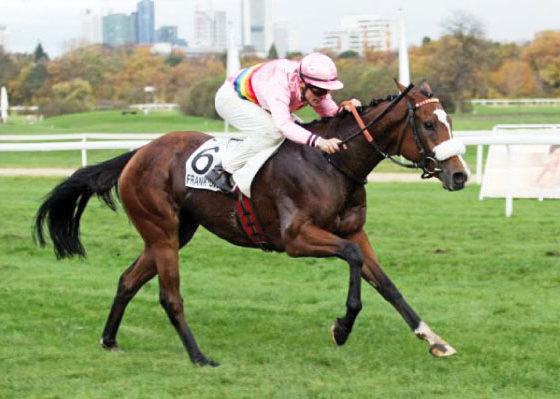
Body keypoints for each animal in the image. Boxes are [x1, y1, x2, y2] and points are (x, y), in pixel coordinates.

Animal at [35, 82, 470, 368]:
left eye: (448, 120)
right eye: (429, 125)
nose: (460, 175)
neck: (333, 162)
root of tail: (138, 152)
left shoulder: (354, 232)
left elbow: (387, 285)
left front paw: (435, 340)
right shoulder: (297, 239)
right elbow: (352, 262)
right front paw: (342, 327)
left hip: (174, 233)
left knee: (128, 279)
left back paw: (109, 340)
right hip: (162, 232)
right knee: (169, 296)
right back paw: (199, 356)